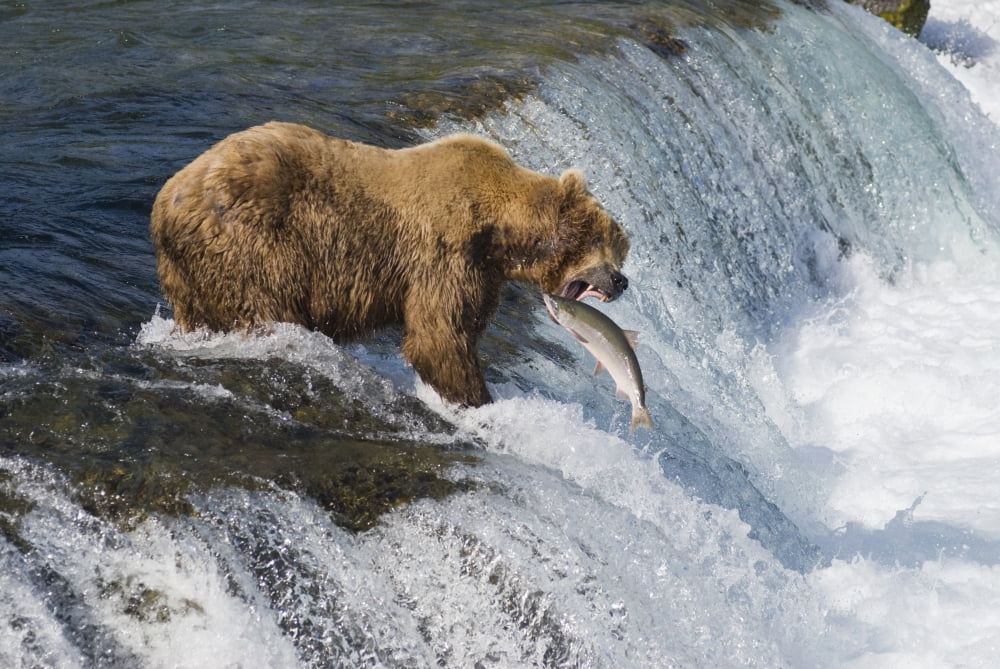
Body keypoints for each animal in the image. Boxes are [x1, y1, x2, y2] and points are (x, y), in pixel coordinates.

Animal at [150, 122, 630, 407]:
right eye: (601, 241)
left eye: (620, 247)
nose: (621, 280)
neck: (499, 230)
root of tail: (167, 198)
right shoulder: (445, 254)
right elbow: (440, 335)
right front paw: (478, 399)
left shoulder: (481, 272)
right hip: (252, 242)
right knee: (265, 303)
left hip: (187, 276)